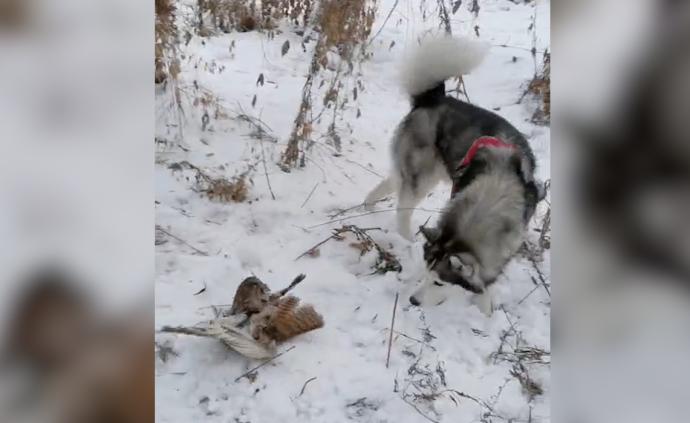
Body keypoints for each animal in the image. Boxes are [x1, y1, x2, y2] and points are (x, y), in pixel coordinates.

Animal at [366, 36, 544, 314]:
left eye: (439, 282)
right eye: (426, 274)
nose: (413, 301)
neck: (495, 195)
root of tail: (433, 99)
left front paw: (485, 308)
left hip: (423, 172)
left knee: (391, 183)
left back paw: (368, 206)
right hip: (422, 175)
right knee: (403, 207)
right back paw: (405, 238)